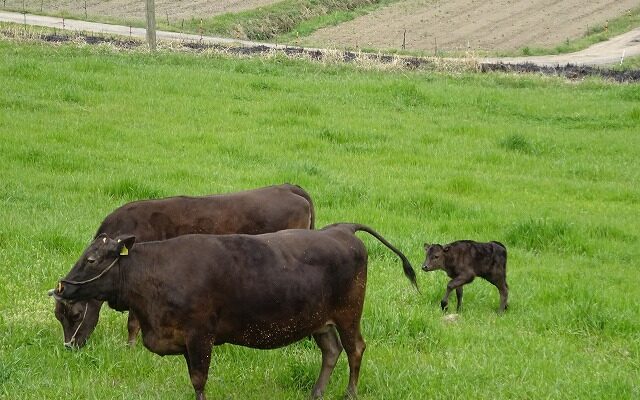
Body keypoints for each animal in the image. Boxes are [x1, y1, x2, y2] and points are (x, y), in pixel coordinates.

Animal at [50, 184, 316, 346]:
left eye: (75, 314)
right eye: (58, 316)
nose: (70, 346)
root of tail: (288, 187)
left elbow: (133, 322)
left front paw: (131, 347)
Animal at [51, 223, 420, 398]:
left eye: (92, 259)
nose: (63, 287)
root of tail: (341, 229)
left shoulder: (200, 334)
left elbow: (199, 380)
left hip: (348, 313)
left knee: (355, 348)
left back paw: (349, 393)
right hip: (319, 320)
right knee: (332, 350)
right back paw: (316, 393)